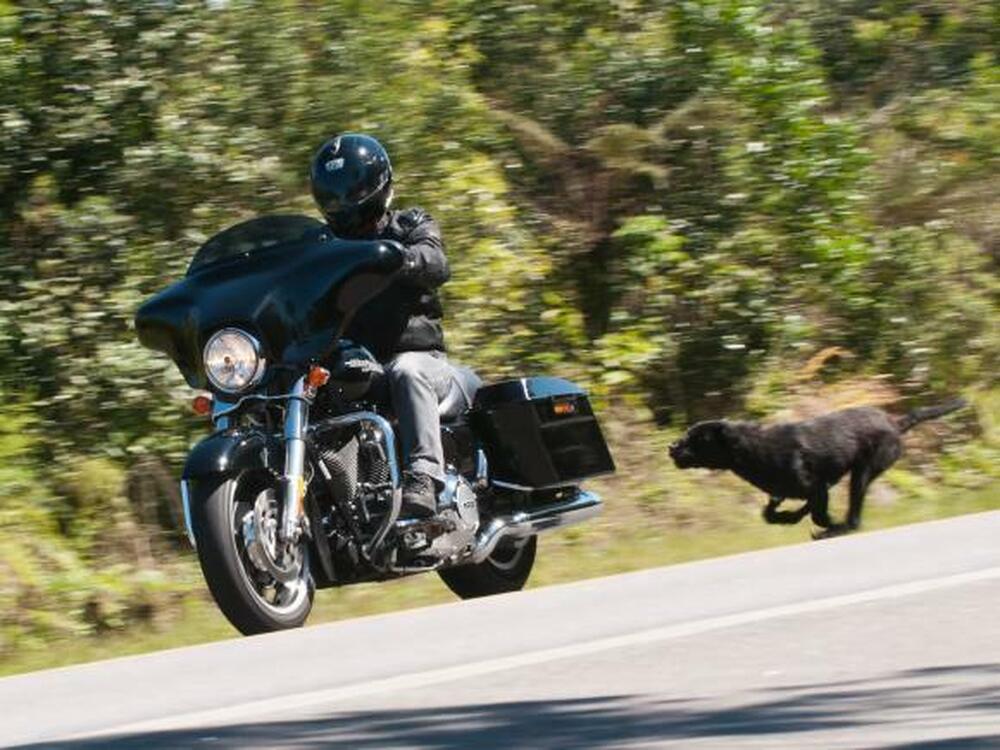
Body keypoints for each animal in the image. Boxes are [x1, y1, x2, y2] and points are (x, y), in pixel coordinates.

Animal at [668, 402, 964, 536]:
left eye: (696, 439)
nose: (671, 447)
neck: (752, 449)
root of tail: (895, 421)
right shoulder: (803, 489)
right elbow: (772, 513)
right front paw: (787, 517)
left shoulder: (819, 487)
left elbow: (818, 514)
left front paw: (826, 524)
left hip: (863, 472)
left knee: (854, 517)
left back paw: (838, 529)